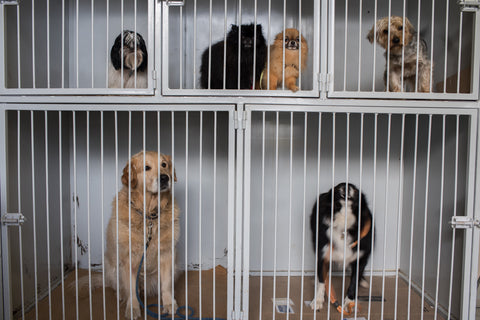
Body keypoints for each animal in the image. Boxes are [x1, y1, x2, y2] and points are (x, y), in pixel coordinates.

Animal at [310, 182, 374, 312]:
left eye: (355, 189)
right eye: (338, 187)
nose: (345, 187)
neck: (343, 219)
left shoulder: (361, 257)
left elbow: (354, 282)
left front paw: (349, 301)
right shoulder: (323, 255)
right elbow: (322, 280)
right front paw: (318, 300)